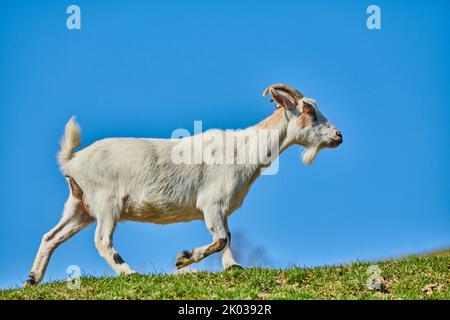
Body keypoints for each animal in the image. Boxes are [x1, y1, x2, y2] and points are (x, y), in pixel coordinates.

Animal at [24, 84, 342, 286]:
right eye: (308, 110)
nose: (338, 136)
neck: (244, 150)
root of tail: (72, 160)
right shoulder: (211, 203)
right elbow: (221, 238)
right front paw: (182, 259)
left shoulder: (220, 209)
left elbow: (228, 236)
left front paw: (233, 267)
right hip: (106, 203)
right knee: (102, 240)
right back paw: (129, 272)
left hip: (80, 205)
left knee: (50, 237)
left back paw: (32, 279)